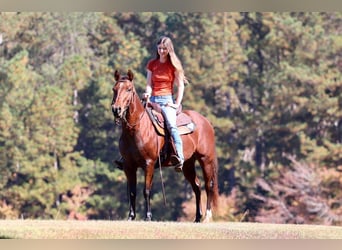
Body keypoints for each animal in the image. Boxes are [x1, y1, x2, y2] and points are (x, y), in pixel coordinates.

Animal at [112, 69, 219, 222]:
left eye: (129, 89)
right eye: (114, 89)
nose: (116, 109)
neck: (136, 129)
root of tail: (206, 122)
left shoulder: (149, 164)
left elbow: (146, 190)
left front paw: (148, 216)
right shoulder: (128, 166)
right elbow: (132, 192)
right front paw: (131, 217)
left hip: (206, 160)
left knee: (208, 185)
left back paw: (207, 217)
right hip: (187, 164)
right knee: (197, 186)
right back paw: (197, 217)